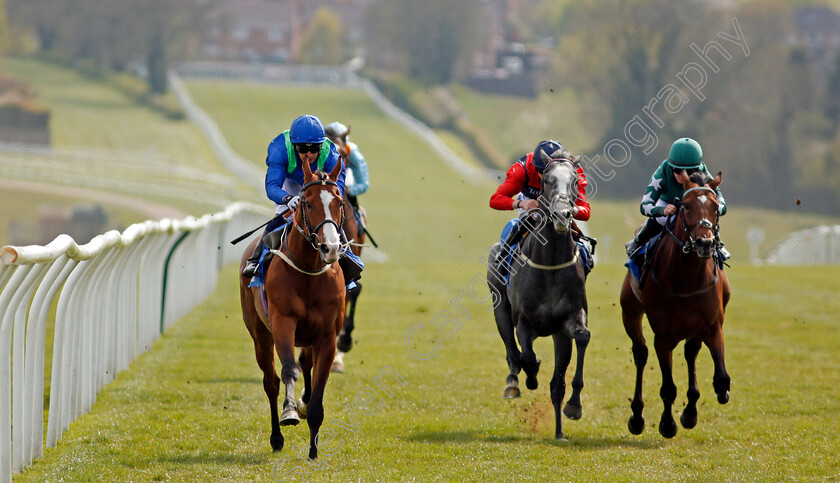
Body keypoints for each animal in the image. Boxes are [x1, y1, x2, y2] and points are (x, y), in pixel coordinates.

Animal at [241, 158, 346, 458]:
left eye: (339, 202)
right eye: (307, 203)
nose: (330, 247)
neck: (309, 270)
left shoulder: (326, 336)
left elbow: (318, 389)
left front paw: (313, 450)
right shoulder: (283, 323)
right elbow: (289, 370)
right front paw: (289, 412)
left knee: (306, 364)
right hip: (260, 334)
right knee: (271, 381)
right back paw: (276, 437)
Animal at [482, 157, 592, 440]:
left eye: (575, 181)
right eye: (547, 180)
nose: (563, 215)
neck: (550, 262)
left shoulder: (568, 322)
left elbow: (581, 339)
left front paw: (574, 407)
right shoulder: (525, 321)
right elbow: (528, 357)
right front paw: (531, 376)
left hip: (557, 335)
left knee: (556, 384)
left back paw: (559, 432)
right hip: (499, 305)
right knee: (512, 350)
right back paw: (513, 383)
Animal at [620, 170, 732, 438]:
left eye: (715, 207)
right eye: (686, 206)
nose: (704, 243)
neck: (686, 279)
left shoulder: (712, 326)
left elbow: (721, 378)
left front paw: (693, 411)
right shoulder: (663, 337)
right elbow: (668, 387)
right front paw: (667, 424)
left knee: (690, 351)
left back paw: (690, 410)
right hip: (630, 311)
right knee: (640, 353)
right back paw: (637, 417)